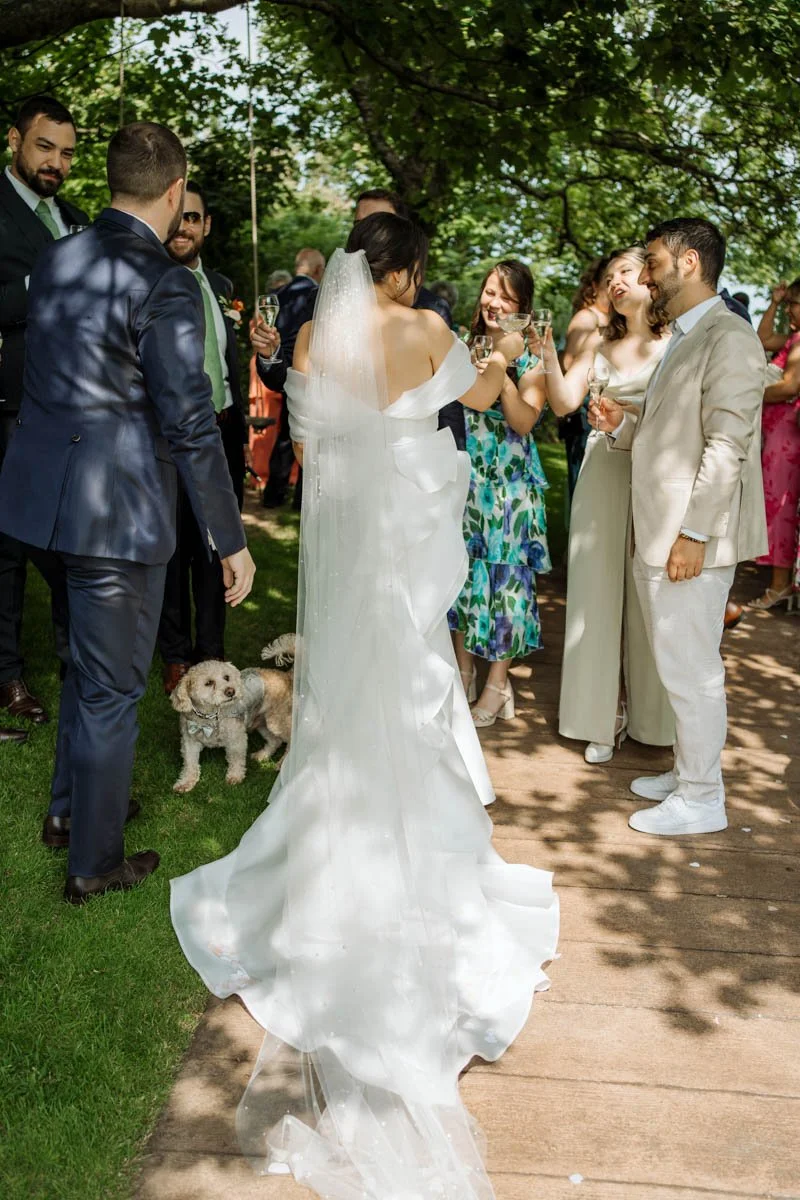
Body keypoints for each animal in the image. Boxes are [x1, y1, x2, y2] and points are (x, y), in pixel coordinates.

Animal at [170, 635, 295, 794]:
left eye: (226, 677)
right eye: (208, 682)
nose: (231, 691)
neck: (209, 718)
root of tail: (286, 675)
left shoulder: (237, 739)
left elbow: (236, 759)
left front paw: (235, 777)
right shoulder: (189, 742)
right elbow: (190, 764)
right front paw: (185, 782)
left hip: (277, 722)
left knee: (290, 741)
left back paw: (283, 764)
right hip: (261, 723)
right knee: (275, 741)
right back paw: (262, 755)